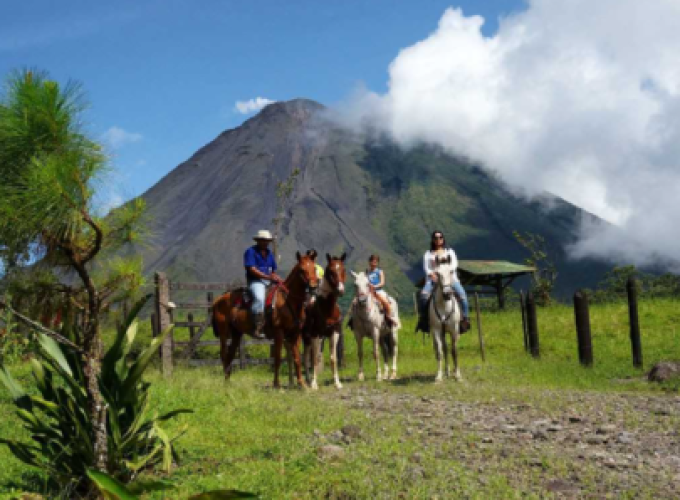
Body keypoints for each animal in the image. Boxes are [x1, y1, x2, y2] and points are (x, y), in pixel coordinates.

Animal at [212, 252, 318, 388]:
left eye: (314, 268)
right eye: (301, 269)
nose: (313, 287)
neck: (287, 301)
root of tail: (218, 299)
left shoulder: (296, 333)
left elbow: (297, 358)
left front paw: (302, 385)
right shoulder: (279, 333)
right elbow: (277, 358)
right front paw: (277, 385)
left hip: (236, 333)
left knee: (230, 355)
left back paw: (227, 381)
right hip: (224, 333)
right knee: (223, 354)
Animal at [302, 254, 346, 390]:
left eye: (343, 270)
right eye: (330, 271)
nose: (340, 290)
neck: (327, 309)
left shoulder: (334, 333)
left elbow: (333, 358)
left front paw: (337, 383)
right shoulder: (317, 335)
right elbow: (315, 359)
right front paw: (314, 384)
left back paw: (308, 379)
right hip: (305, 337)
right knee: (305, 358)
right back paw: (308, 380)